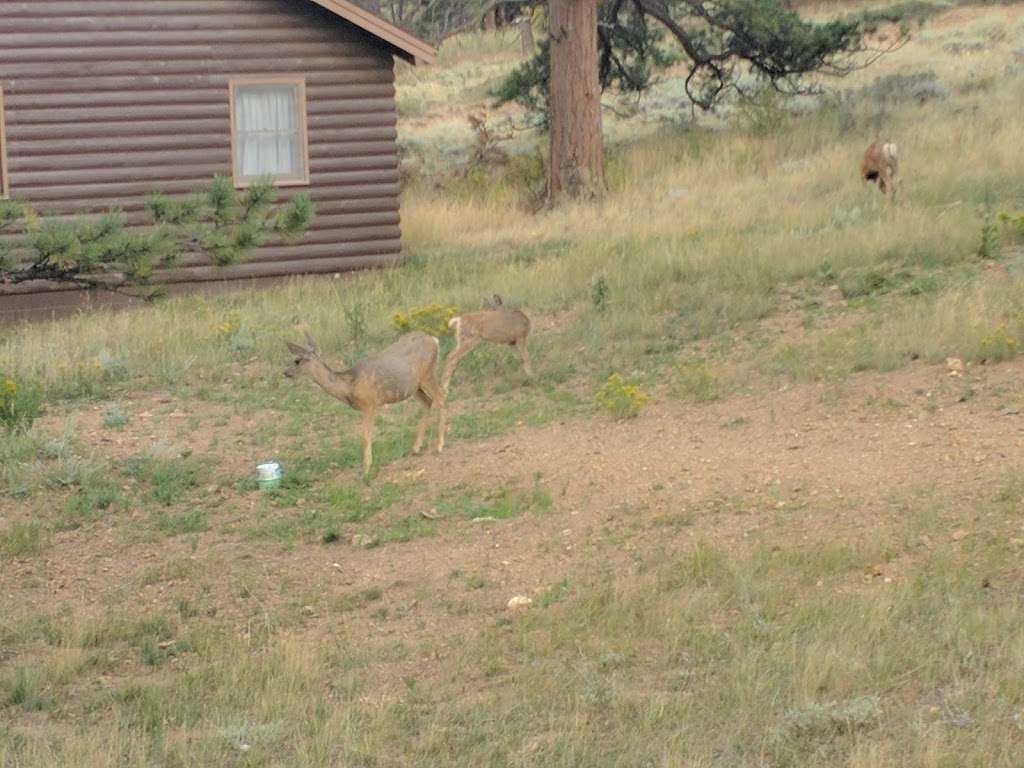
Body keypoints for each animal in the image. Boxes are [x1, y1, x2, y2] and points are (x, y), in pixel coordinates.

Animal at [288, 331, 448, 479]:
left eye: (297, 360)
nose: (285, 372)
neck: (350, 384)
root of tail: (434, 340)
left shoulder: (369, 404)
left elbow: (365, 437)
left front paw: (366, 470)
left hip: (427, 375)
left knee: (440, 397)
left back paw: (439, 446)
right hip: (413, 386)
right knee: (428, 402)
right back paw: (416, 447)